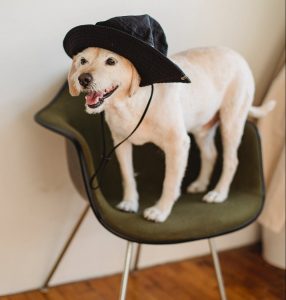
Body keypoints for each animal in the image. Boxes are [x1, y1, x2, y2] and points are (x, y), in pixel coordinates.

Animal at [67, 45, 274, 221]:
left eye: (111, 61)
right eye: (83, 60)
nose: (83, 79)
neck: (130, 104)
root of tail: (237, 55)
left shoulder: (178, 145)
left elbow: (170, 182)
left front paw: (160, 211)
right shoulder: (120, 142)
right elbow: (127, 175)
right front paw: (130, 202)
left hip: (231, 122)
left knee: (231, 161)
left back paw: (219, 193)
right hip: (202, 129)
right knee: (211, 154)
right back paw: (201, 183)